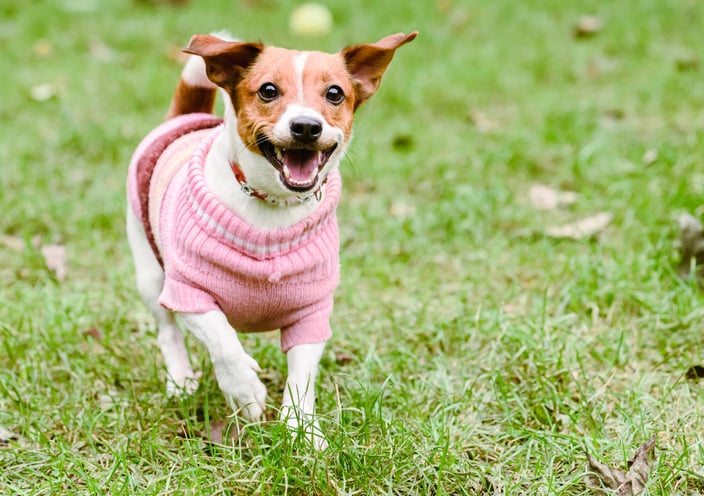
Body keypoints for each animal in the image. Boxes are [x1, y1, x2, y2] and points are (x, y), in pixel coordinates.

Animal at [125, 32, 418, 450]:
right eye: (267, 90)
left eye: (334, 93)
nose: (306, 126)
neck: (272, 207)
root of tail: (186, 119)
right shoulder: (188, 294)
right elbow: (223, 341)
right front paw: (246, 392)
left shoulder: (312, 313)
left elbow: (302, 377)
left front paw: (302, 432)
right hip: (150, 276)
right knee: (168, 332)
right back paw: (181, 380)